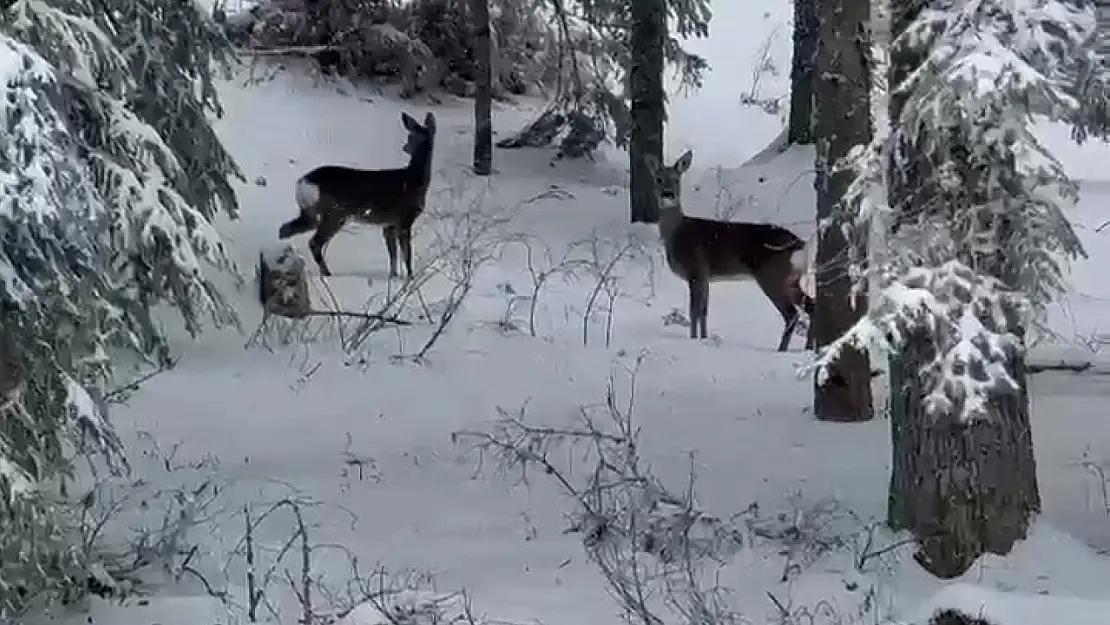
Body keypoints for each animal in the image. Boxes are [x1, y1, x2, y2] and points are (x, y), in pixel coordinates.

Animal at [277, 112, 437, 278]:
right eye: (410, 136)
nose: (405, 147)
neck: (414, 180)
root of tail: (302, 182)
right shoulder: (405, 219)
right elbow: (407, 254)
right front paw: (410, 278)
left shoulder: (389, 225)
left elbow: (392, 255)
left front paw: (393, 277)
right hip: (334, 213)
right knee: (314, 242)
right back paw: (328, 274)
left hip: (311, 213)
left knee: (285, 229)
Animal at [643, 148, 816, 350]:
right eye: (658, 179)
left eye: (676, 179)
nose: (668, 194)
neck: (678, 233)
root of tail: (800, 244)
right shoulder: (706, 277)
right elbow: (704, 312)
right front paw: (703, 339)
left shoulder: (696, 270)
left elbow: (694, 311)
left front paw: (693, 340)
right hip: (791, 279)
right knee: (812, 306)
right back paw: (808, 348)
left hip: (771, 276)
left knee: (791, 314)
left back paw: (781, 350)